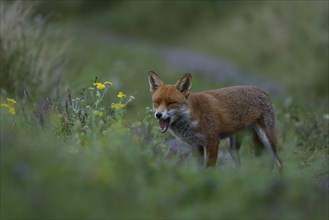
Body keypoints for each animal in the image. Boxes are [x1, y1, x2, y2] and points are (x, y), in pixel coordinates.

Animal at [147, 71, 280, 169]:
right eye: (156, 102)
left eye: (171, 103)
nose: (158, 115)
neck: (191, 116)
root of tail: (263, 90)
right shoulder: (196, 145)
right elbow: (199, 170)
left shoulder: (212, 142)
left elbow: (209, 169)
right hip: (233, 147)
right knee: (241, 165)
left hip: (268, 139)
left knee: (279, 163)